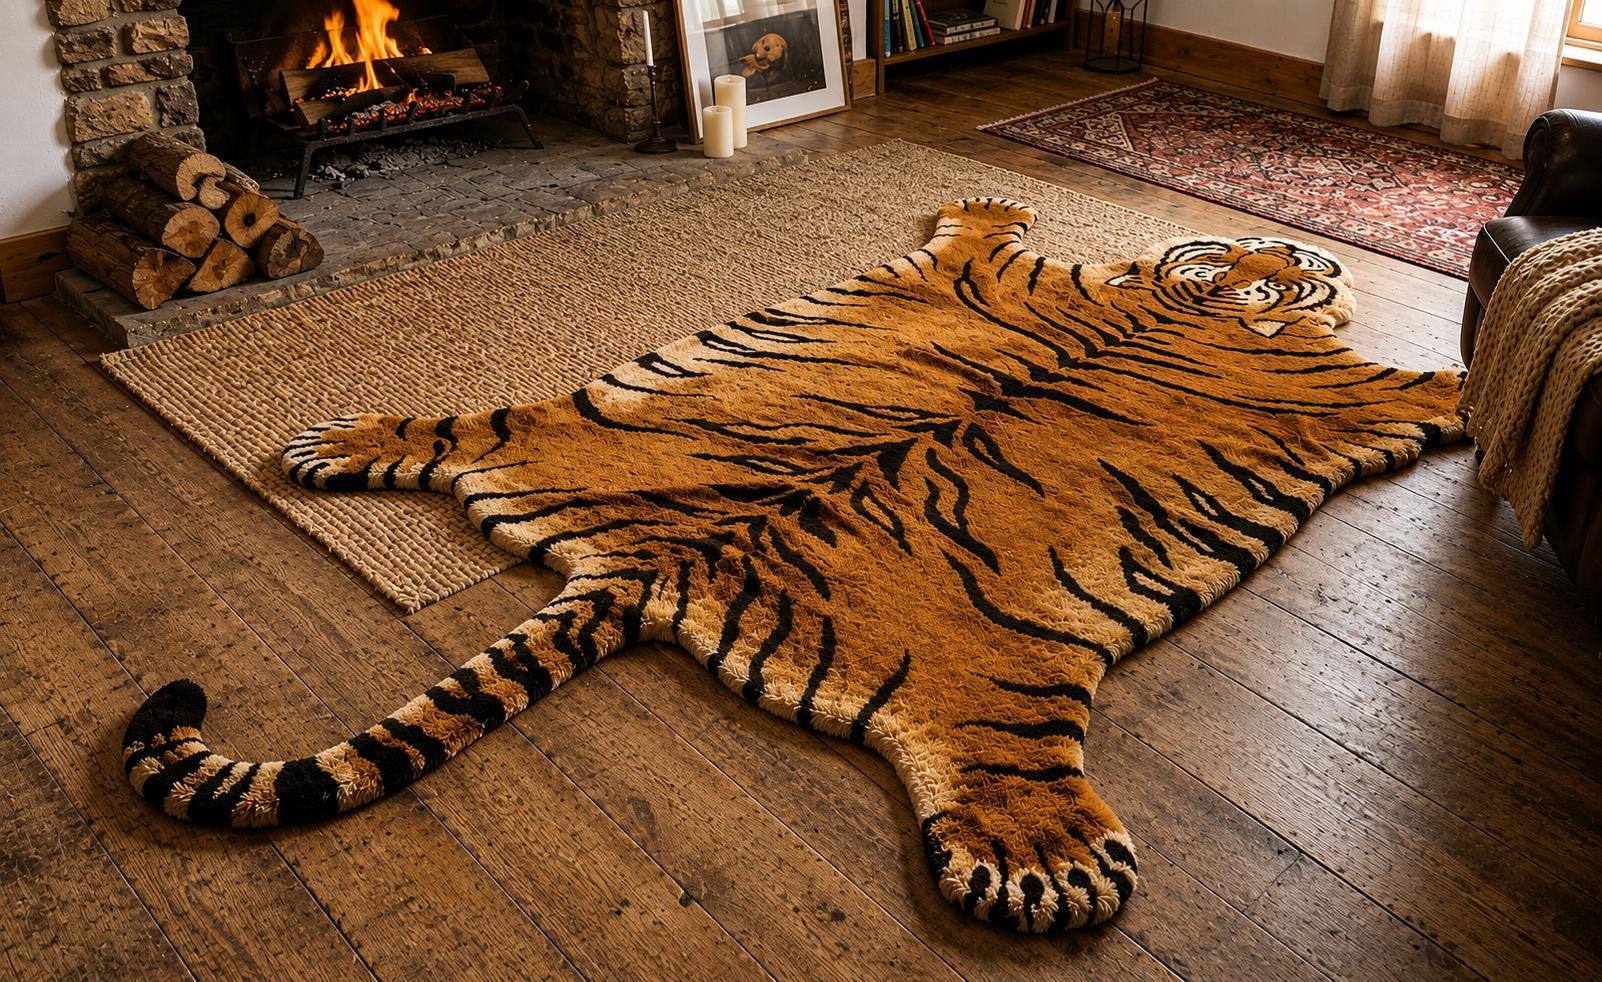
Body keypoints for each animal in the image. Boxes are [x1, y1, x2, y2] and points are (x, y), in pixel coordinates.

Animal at [122, 198, 1464, 932]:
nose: (1296, 260)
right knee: (1003, 769)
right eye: (1284, 261)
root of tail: (651, 561)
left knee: (460, 436)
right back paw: (1048, 860)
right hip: (1002, 682)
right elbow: (1424, 384)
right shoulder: (1321, 376)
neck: (1192, 300)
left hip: (555, 428)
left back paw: (339, 442)